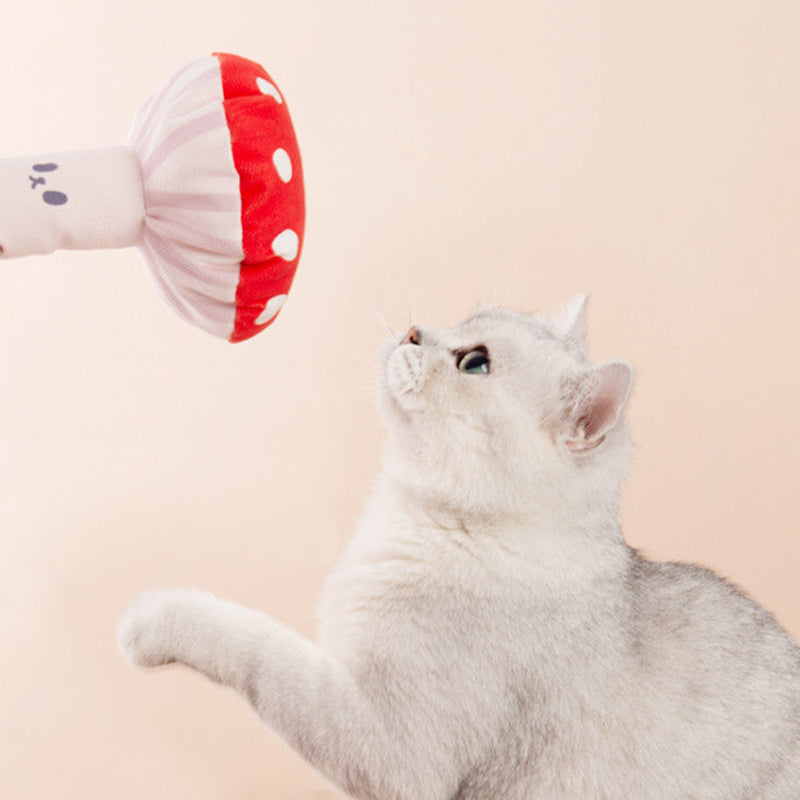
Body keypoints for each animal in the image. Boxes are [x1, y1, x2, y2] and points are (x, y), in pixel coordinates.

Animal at [117, 300, 800, 800]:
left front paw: (152, 620)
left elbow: (255, 643)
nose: (414, 328)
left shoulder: (389, 747)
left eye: (475, 364)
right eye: (463, 317)